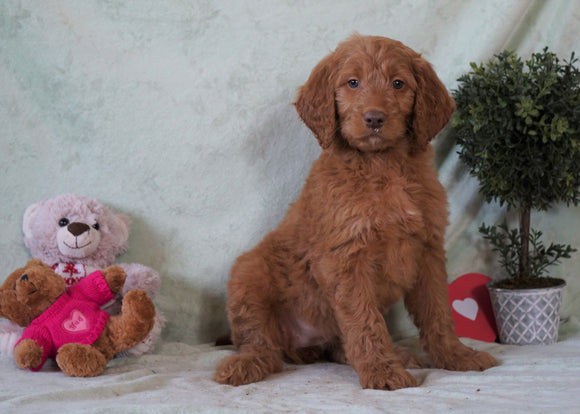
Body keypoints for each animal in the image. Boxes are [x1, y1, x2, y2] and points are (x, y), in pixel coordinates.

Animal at [215, 34, 496, 390]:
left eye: (398, 83)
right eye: (352, 83)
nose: (374, 118)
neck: (381, 165)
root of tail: (302, 344)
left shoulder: (428, 251)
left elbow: (438, 312)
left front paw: (456, 356)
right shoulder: (345, 258)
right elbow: (364, 320)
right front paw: (382, 371)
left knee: (338, 347)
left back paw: (396, 354)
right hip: (247, 275)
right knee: (262, 342)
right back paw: (246, 363)